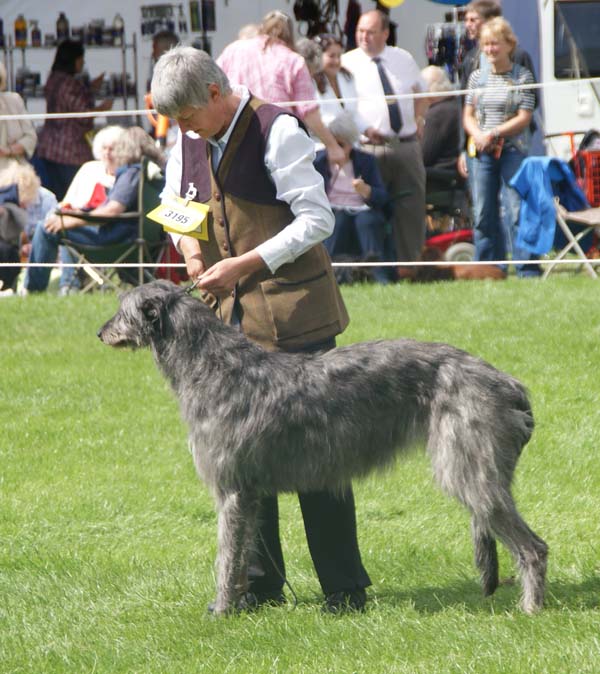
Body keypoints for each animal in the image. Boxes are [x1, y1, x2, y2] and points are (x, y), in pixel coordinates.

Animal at [98, 278, 548, 616]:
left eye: (123, 308)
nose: (100, 332)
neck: (213, 366)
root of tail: (510, 385)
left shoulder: (231, 489)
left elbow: (226, 556)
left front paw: (222, 611)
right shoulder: (251, 494)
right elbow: (242, 554)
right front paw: (242, 603)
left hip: (468, 468)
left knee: (534, 547)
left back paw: (531, 609)